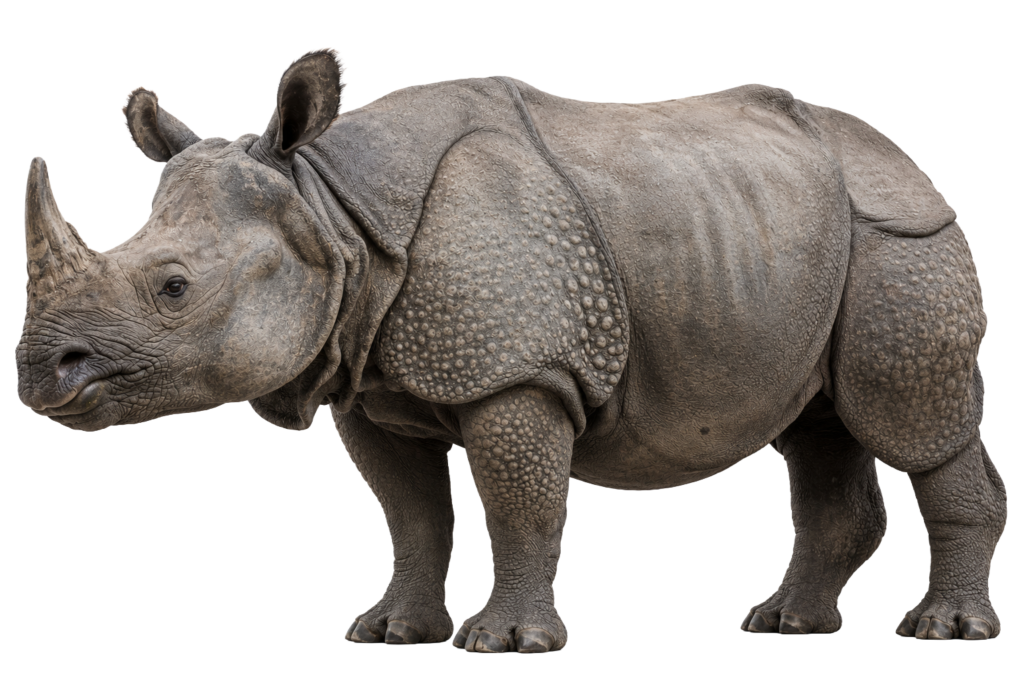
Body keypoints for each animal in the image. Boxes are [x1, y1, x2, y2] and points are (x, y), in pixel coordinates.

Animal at [16, 47, 1005, 650]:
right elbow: (411, 513)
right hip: (795, 245)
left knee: (913, 423)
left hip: (903, 237)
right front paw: (391, 632)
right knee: (817, 427)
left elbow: (517, 503)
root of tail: (909, 158)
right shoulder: (367, 381)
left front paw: (505, 642)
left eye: (173, 288)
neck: (332, 207)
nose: (38, 372)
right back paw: (784, 623)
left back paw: (944, 628)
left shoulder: (516, 373)